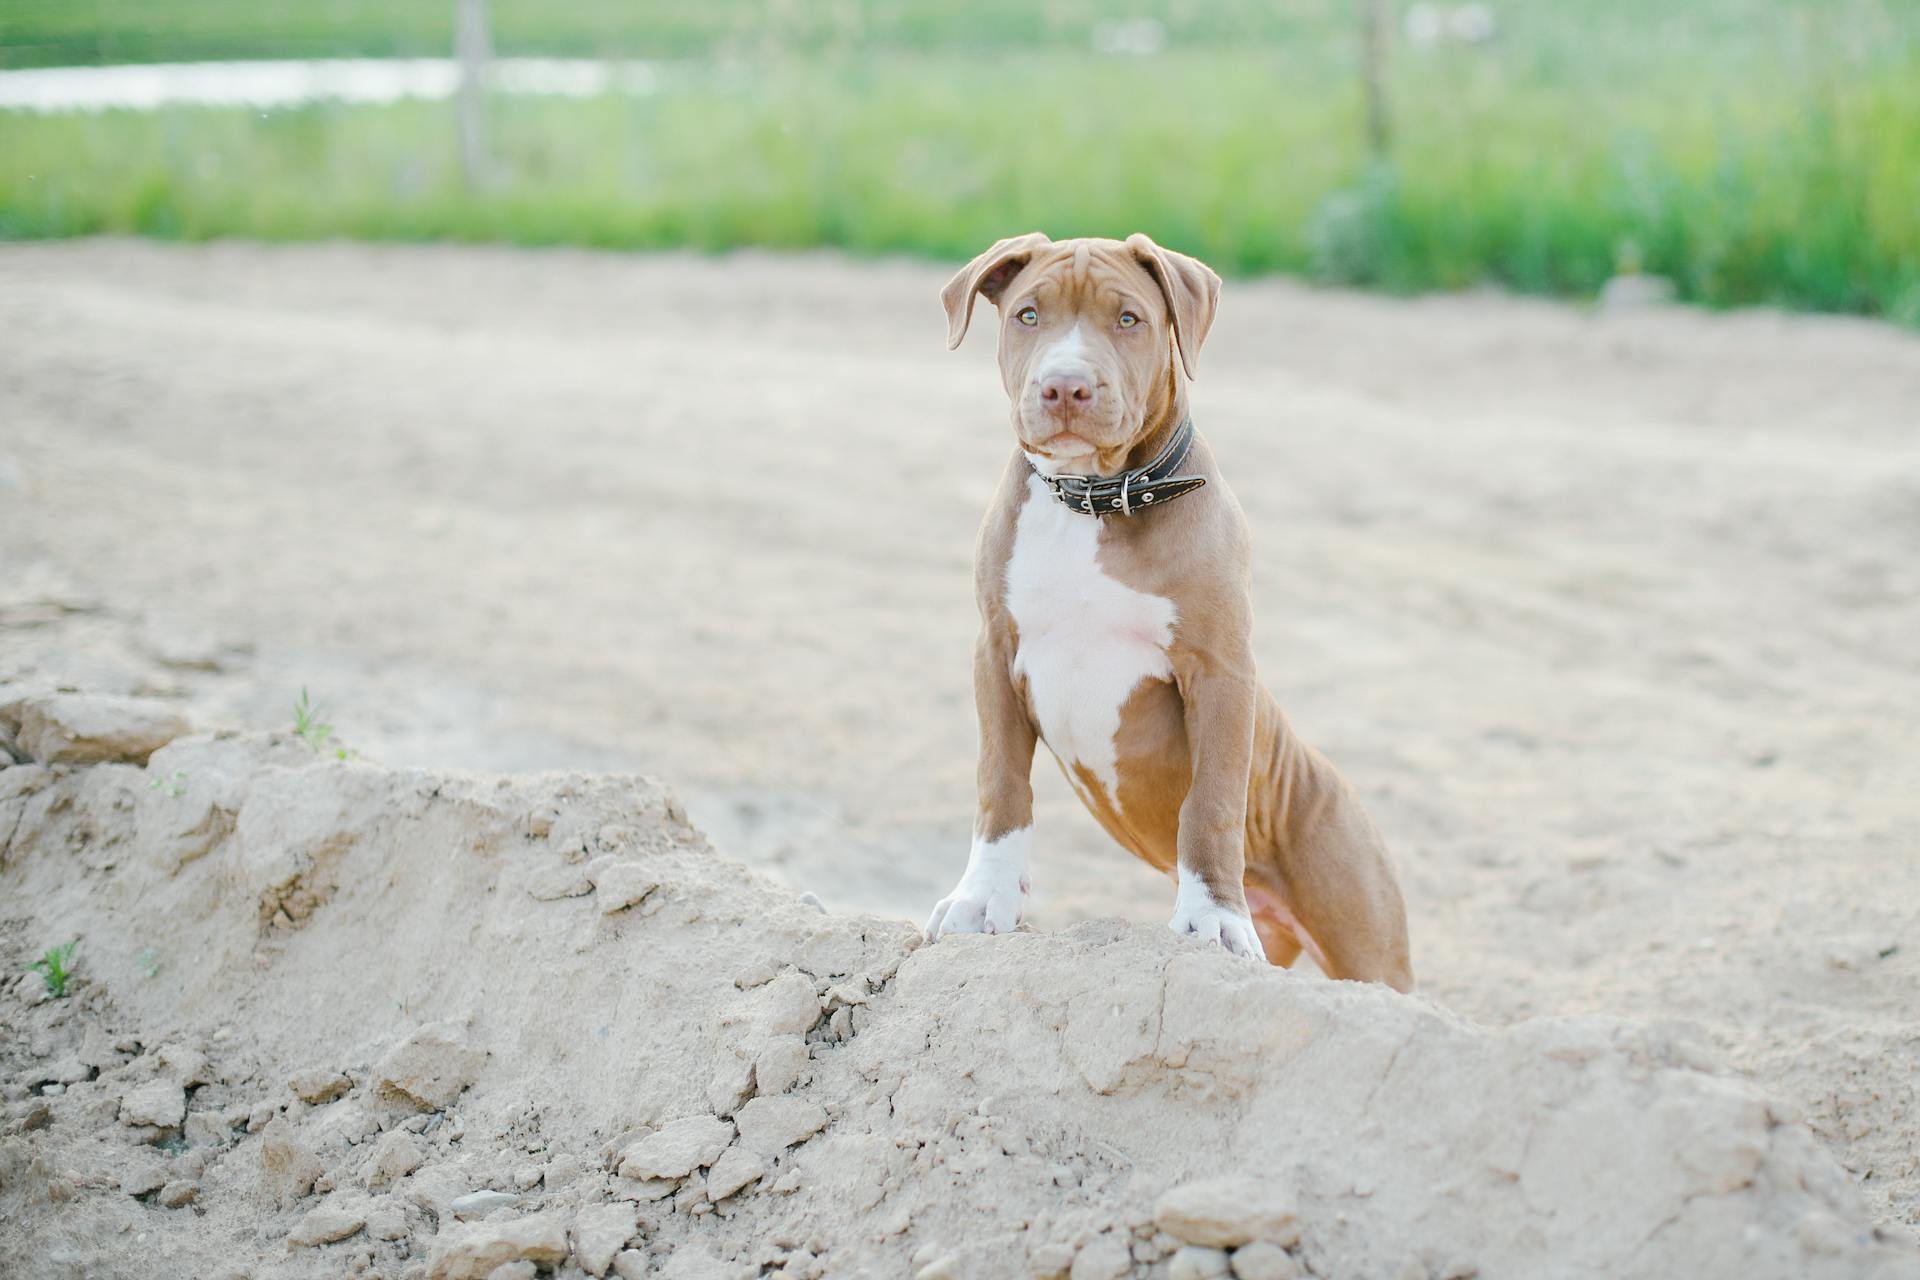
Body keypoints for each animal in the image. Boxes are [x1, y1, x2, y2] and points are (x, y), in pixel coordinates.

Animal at [921, 233, 1420, 990]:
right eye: (1028, 315)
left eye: (1129, 319)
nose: (1064, 386)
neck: (1095, 501)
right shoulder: (996, 650)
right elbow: (999, 785)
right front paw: (982, 899)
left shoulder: (1220, 671)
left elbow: (1211, 802)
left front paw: (1213, 920)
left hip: (1365, 935)